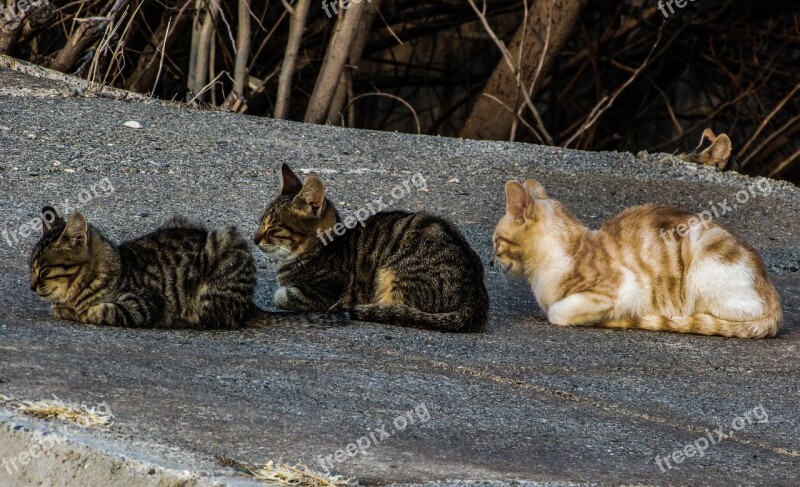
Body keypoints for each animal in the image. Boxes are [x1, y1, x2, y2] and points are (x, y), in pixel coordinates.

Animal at [30, 208, 344, 330]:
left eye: (43, 270)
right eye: (30, 267)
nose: (31, 286)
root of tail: (248, 305)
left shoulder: (143, 303)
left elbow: (99, 310)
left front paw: (73, 310)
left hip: (222, 245)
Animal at [253, 164, 488, 332]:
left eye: (272, 228)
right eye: (260, 222)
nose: (254, 239)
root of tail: (477, 295)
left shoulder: (320, 293)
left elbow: (281, 295)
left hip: (396, 274)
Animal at [490, 180, 784, 340]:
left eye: (495, 242)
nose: (491, 263)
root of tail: (774, 300)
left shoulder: (623, 287)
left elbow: (557, 312)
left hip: (701, 262)